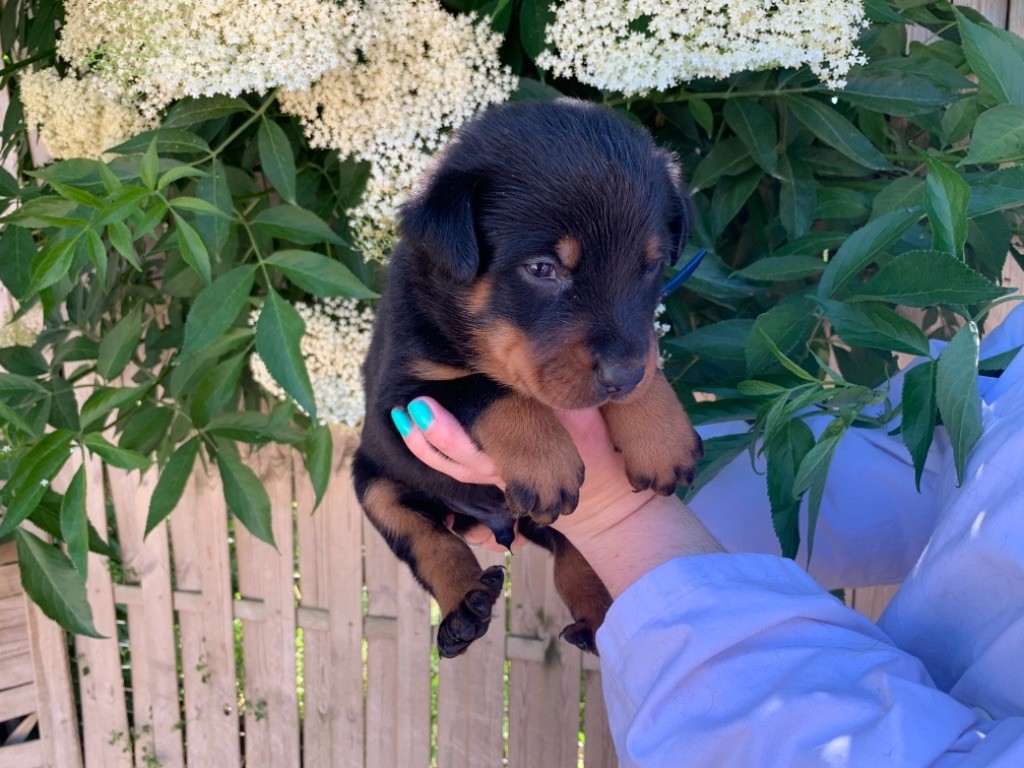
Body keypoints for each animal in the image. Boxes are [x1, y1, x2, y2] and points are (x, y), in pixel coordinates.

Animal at [353, 99, 703, 658]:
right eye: (542, 269)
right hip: (374, 478)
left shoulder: (636, 343)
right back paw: (465, 609)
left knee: (574, 559)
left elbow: (648, 352)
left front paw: (659, 433)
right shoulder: (400, 396)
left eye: (650, 267)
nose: (621, 377)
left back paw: (597, 624)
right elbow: (488, 390)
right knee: (428, 540)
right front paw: (545, 458)